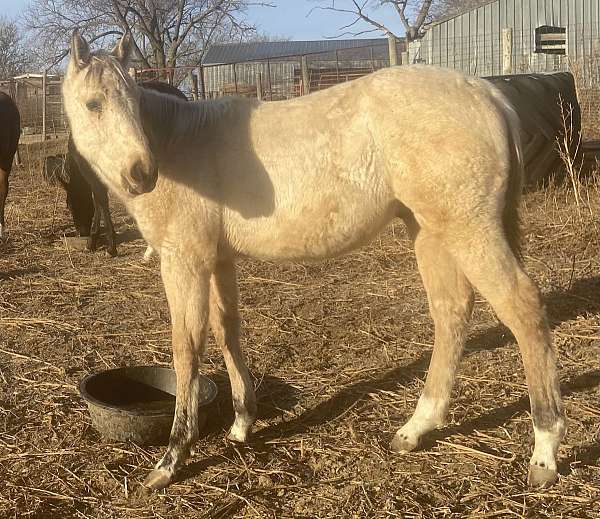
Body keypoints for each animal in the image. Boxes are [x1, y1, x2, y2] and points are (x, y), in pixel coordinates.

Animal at [44, 80, 186, 256]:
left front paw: (107, 244)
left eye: (69, 204)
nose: (81, 231)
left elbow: (101, 201)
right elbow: (98, 202)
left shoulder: (94, 175)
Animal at [63, 31, 564, 492]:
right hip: (430, 231)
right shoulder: (218, 260)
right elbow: (227, 332)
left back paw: (544, 450)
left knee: (522, 309)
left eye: (132, 100)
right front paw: (242, 425)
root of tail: (488, 94)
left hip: (469, 229)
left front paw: (170, 460)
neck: (180, 145)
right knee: (452, 313)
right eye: (93, 103)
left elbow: (186, 347)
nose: (141, 173)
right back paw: (415, 429)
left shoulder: (184, 261)